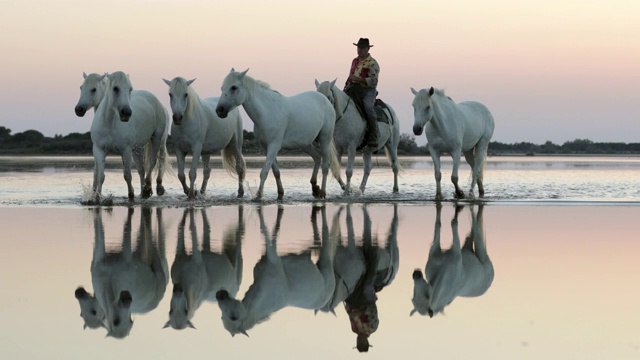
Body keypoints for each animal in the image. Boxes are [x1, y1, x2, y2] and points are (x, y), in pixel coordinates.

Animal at [74, 208, 169, 338]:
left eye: (94, 312)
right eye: (82, 314)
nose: (78, 292)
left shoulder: (126, 257)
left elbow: (126, 228)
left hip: (156, 266)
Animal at [85, 71, 170, 204]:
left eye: (130, 89)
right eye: (115, 88)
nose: (126, 112)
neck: (110, 123)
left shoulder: (125, 150)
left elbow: (127, 175)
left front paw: (131, 196)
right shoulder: (99, 150)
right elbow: (100, 175)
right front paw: (97, 198)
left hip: (157, 139)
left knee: (153, 162)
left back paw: (149, 188)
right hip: (137, 149)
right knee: (141, 169)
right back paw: (143, 193)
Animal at [215, 69, 342, 201]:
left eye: (234, 87)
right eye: (222, 88)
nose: (220, 110)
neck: (267, 111)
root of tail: (325, 100)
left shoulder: (274, 146)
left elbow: (264, 171)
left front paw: (258, 195)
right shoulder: (266, 147)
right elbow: (275, 171)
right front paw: (280, 194)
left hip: (325, 139)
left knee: (325, 165)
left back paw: (322, 192)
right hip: (305, 144)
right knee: (317, 158)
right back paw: (314, 188)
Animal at [215, 205, 338, 338]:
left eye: (234, 317)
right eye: (222, 317)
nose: (220, 295)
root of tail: (324, 303)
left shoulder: (272, 255)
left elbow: (266, 230)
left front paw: (259, 209)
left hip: (326, 261)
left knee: (325, 230)